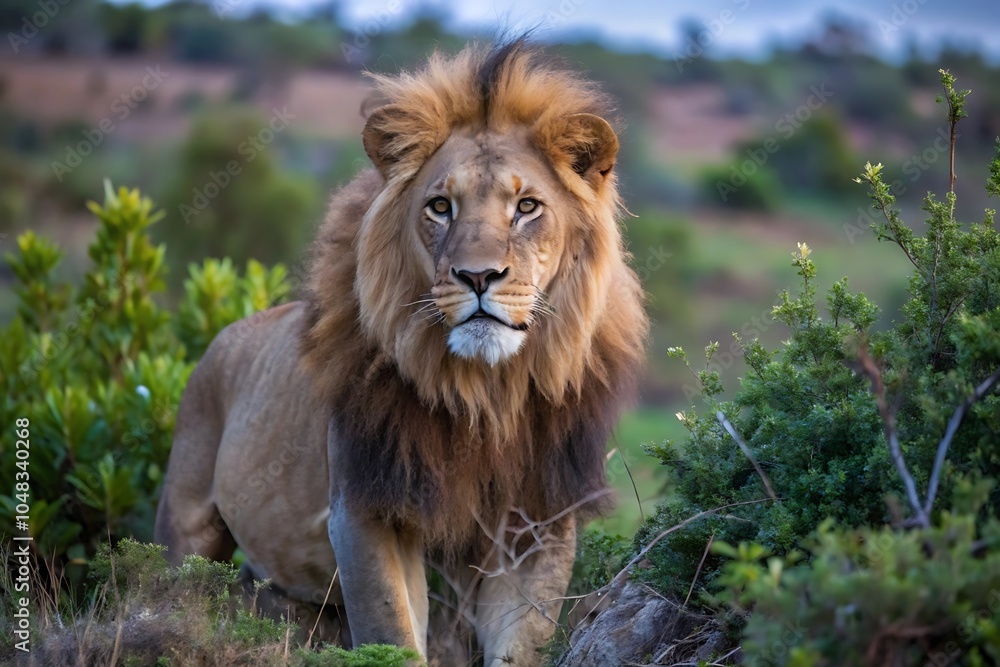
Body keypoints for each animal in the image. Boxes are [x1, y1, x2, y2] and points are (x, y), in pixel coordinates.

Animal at [154, 38, 648, 666]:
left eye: (527, 207)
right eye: (440, 207)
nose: (478, 276)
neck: (487, 392)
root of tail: (221, 339)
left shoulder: (537, 526)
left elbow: (520, 644)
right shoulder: (368, 511)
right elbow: (393, 634)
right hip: (186, 523)